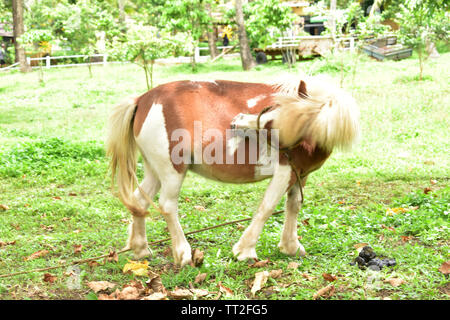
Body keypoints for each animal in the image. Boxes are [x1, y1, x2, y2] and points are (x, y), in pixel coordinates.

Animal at [105, 76, 358, 266]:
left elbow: (293, 206)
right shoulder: (285, 171)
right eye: (271, 110)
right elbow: (267, 208)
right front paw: (245, 251)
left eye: (273, 123)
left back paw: (141, 249)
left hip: (154, 170)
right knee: (167, 205)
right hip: (171, 170)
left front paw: (291, 247)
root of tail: (143, 100)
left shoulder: (300, 173)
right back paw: (183, 253)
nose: (237, 122)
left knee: (139, 201)